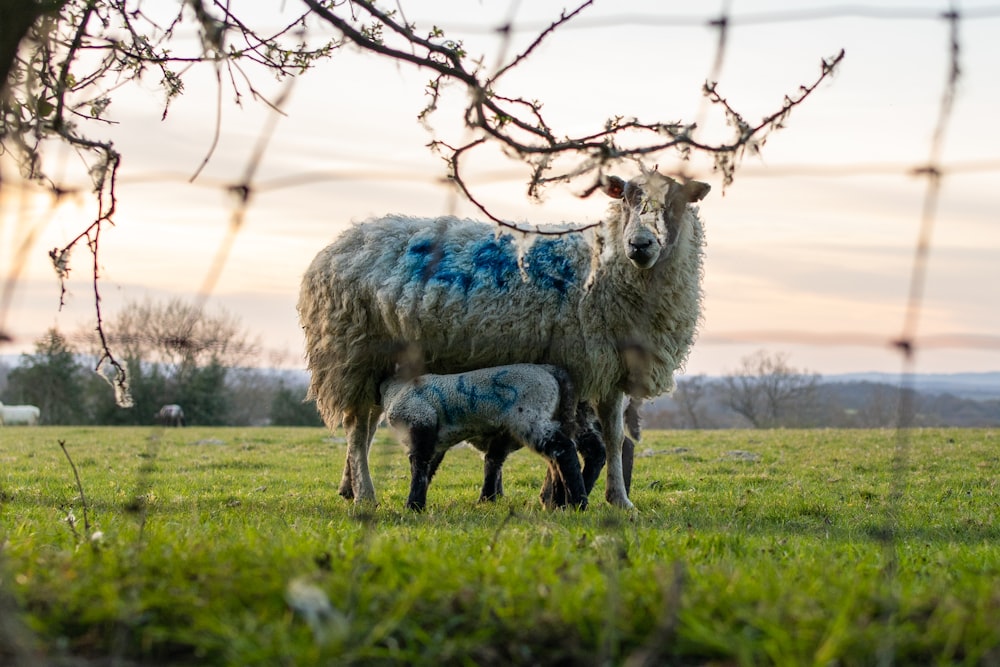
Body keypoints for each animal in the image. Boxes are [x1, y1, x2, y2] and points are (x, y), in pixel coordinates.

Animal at [380, 366, 588, 512]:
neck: (394, 392)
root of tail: (552, 371)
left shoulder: (421, 421)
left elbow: (419, 468)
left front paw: (413, 506)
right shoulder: (435, 441)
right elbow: (428, 469)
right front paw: (417, 503)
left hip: (529, 415)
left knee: (563, 448)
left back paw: (579, 503)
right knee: (553, 459)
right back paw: (560, 503)